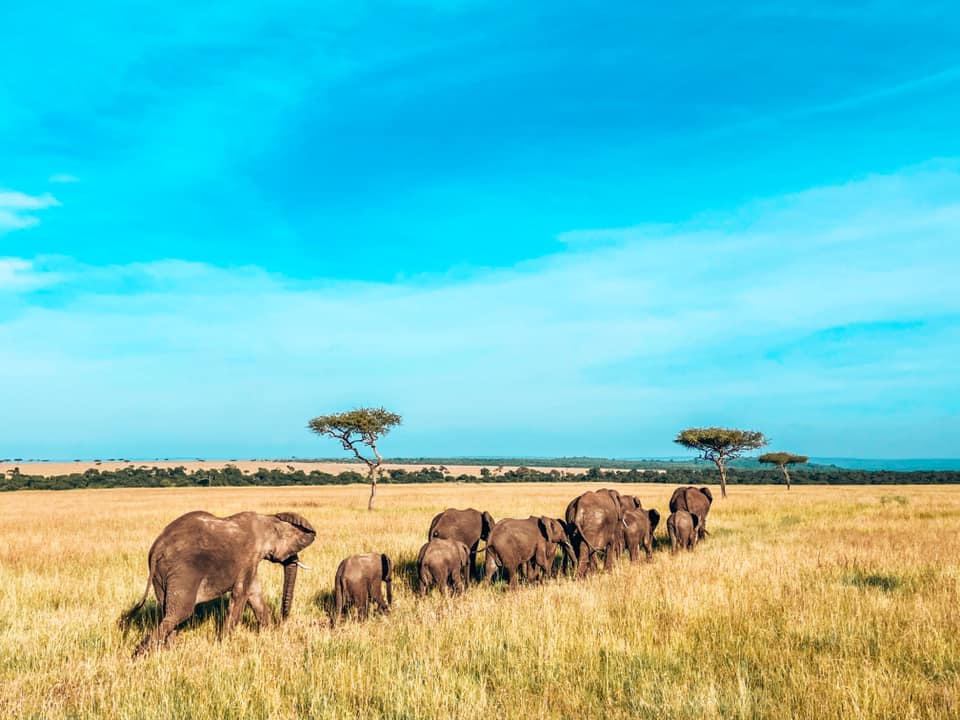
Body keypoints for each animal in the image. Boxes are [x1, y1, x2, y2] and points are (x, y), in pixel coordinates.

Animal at [119, 510, 316, 656]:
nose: (283, 620)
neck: (267, 519)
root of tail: (157, 547)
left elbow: (255, 595)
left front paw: (268, 635)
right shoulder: (249, 557)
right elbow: (241, 594)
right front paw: (224, 644)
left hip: (160, 575)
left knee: (167, 611)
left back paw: (171, 651)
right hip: (184, 571)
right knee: (179, 613)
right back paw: (139, 656)